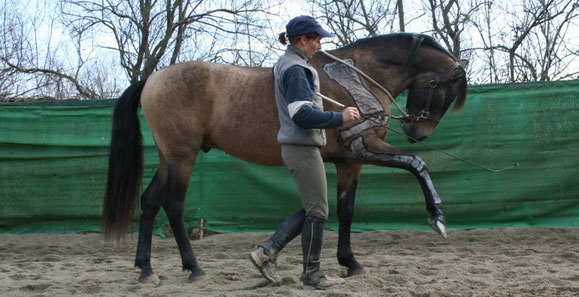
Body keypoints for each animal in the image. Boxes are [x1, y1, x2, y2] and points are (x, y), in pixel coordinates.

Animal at [102, 33, 468, 280]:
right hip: (182, 157)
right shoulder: (365, 147)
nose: (417, 132)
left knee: (150, 201)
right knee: (173, 205)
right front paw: (437, 217)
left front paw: (349, 262)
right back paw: (194, 267)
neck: (359, 75)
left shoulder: (350, 162)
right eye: (445, 89)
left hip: (169, 158)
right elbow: (417, 165)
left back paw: (146, 268)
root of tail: (153, 78)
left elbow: (344, 210)